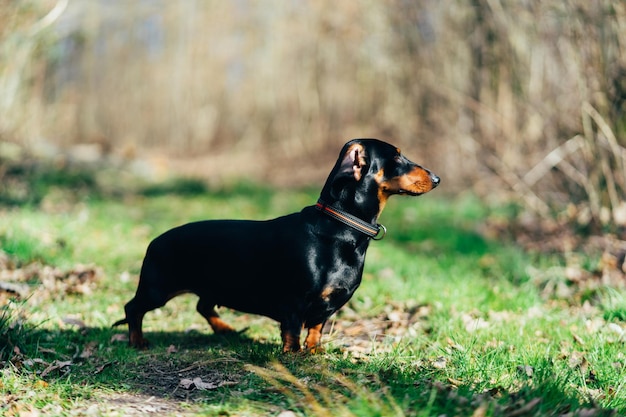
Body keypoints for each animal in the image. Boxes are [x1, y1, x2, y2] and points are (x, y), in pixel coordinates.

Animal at [114, 139, 442, 352]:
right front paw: (293, 357)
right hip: (157, 290)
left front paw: (315, 354)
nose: (438, 178)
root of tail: (154, 241)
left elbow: (316, 330)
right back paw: (137, 341)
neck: (341, 228)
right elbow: (293, 333)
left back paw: (226, 329)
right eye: (397, 158)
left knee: (202, 305)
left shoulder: (325, 309)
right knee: (133, 308)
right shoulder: (294, 302)